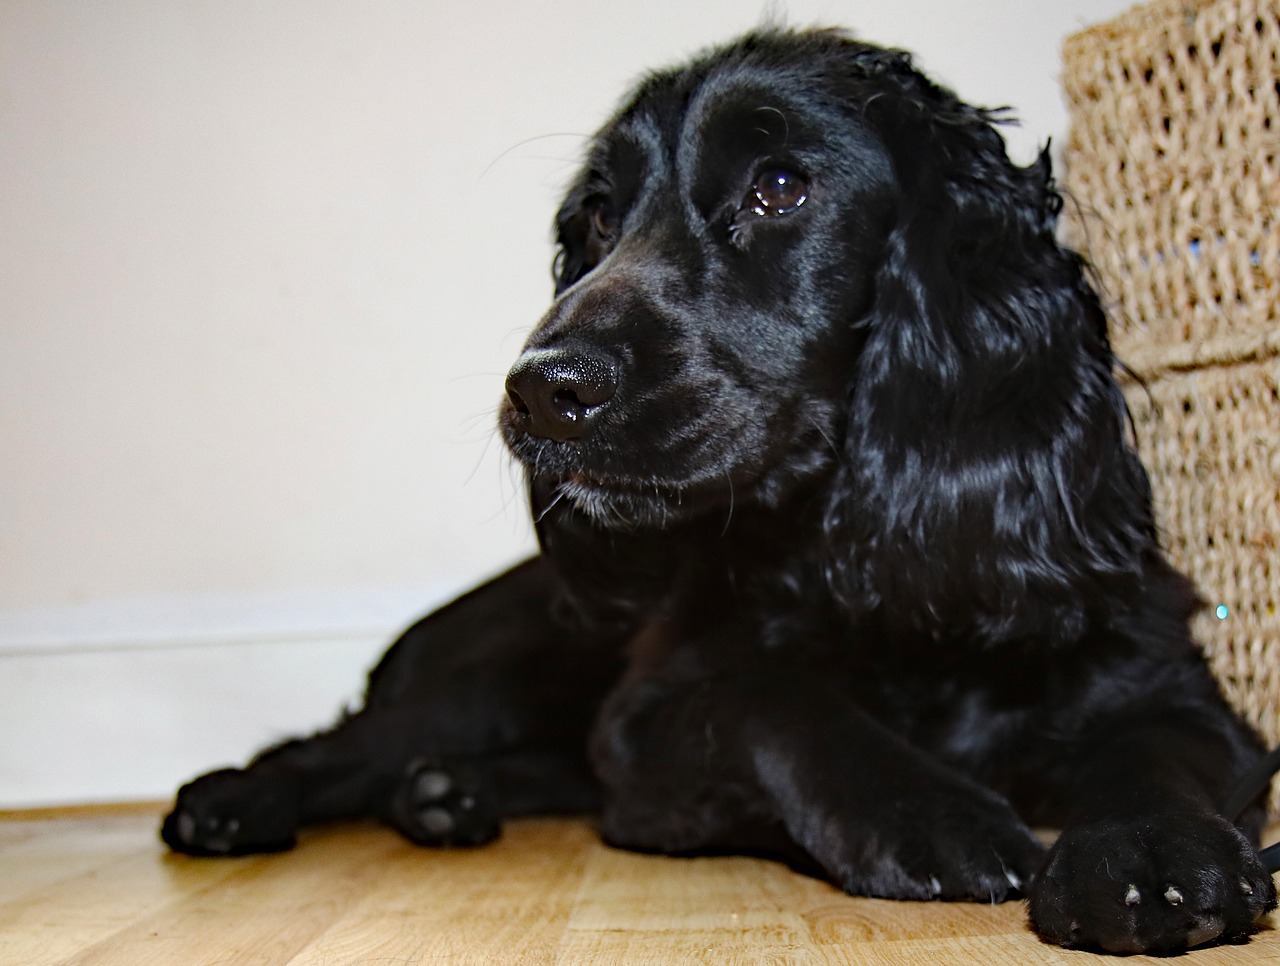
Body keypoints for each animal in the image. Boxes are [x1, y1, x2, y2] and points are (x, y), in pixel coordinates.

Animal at [165, 26, 1274, 957]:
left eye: (780, 186)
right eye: (598, 212)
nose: (540, 389)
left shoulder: (1163, 682)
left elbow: (1155, 750)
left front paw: (1146, 850)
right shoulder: (649, 723)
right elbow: (767, 697)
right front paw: (928, 811)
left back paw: (445, 795)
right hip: (498, 678)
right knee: (335, 745)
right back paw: (239, 800)